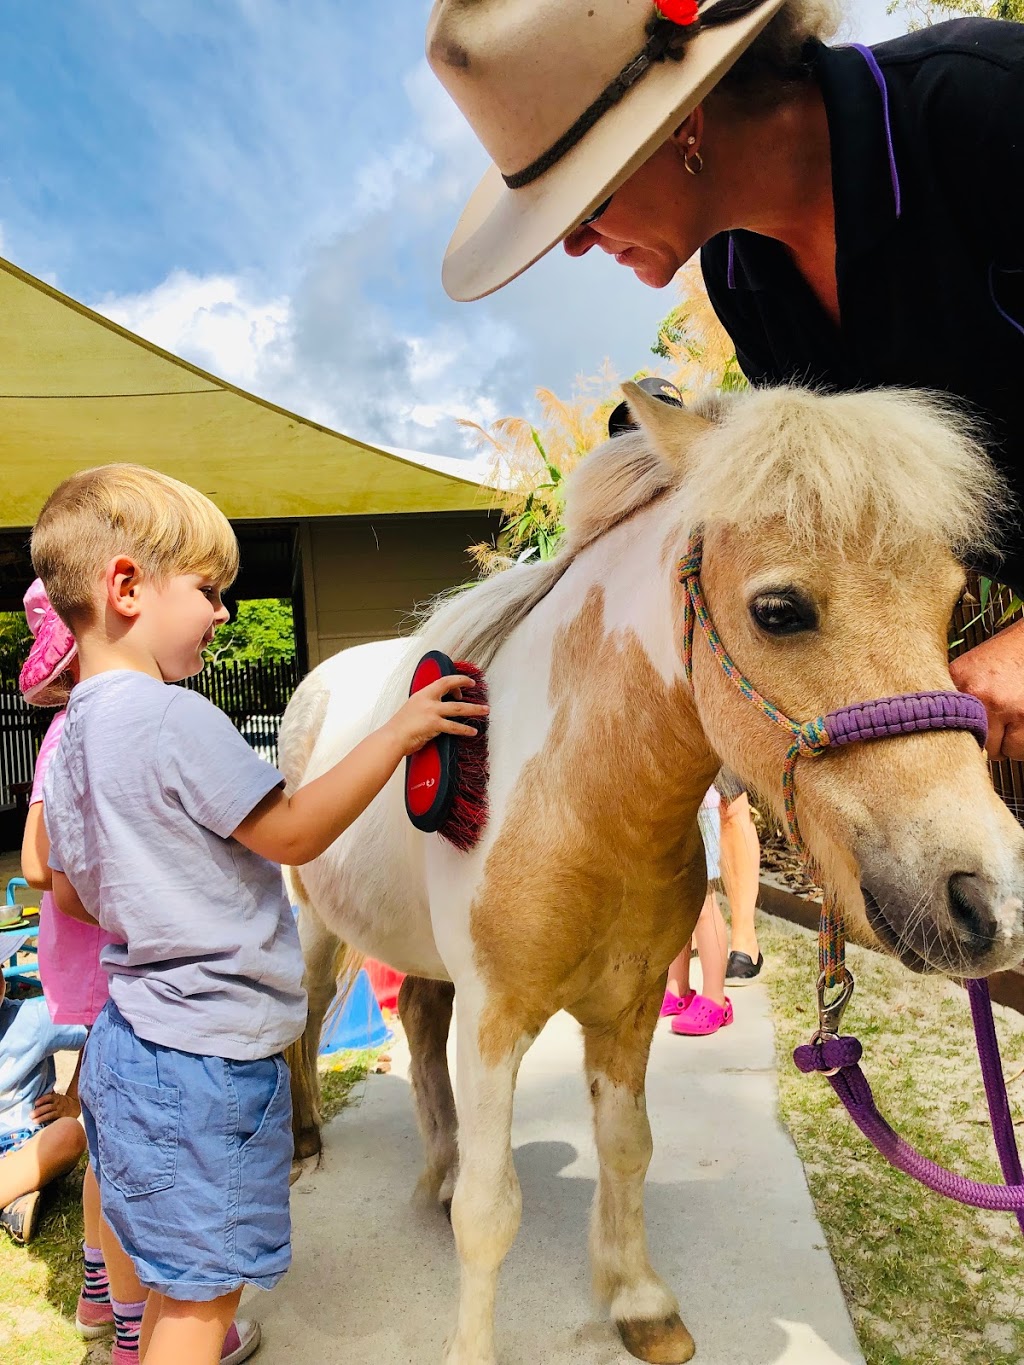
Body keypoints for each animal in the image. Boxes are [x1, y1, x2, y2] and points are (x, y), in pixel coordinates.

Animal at [278, 382, 1024, 1365]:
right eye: (779, 608)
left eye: (951, 602)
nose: (992, 900)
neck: (579, 803)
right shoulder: (496, 1017)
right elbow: (491, 1208)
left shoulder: (627, 1010)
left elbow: (627, 1147)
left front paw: (638, 1303)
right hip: (316, 931)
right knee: (304, 1021)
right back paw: (303, 1143)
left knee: (418, 1024)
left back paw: (431, 1170)